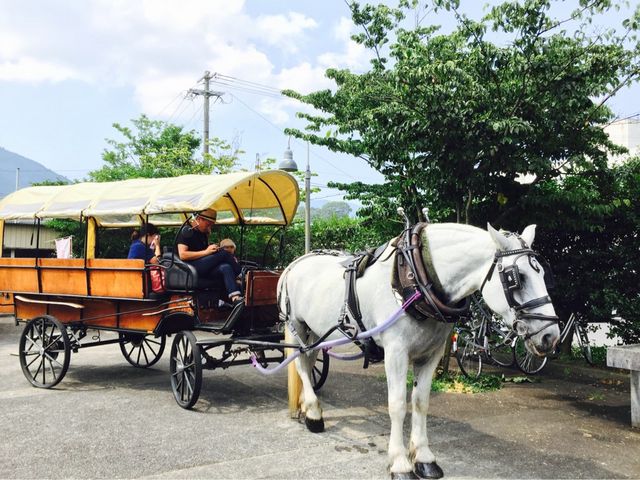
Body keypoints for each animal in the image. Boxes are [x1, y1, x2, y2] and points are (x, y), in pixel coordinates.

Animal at [277, 222, 560, 479]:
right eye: (516, 278)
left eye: (542, 274)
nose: (551, 336)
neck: (419, 280)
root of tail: (295, 263)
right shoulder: (396, 353)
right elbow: (397, 405)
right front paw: (400, 463)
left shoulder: (430, 354)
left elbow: (421, 402)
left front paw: (424, 458)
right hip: (298, 326)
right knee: (301, 365)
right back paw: (314, 415)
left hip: (316, 332)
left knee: (309, 361)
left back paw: (306, 408)